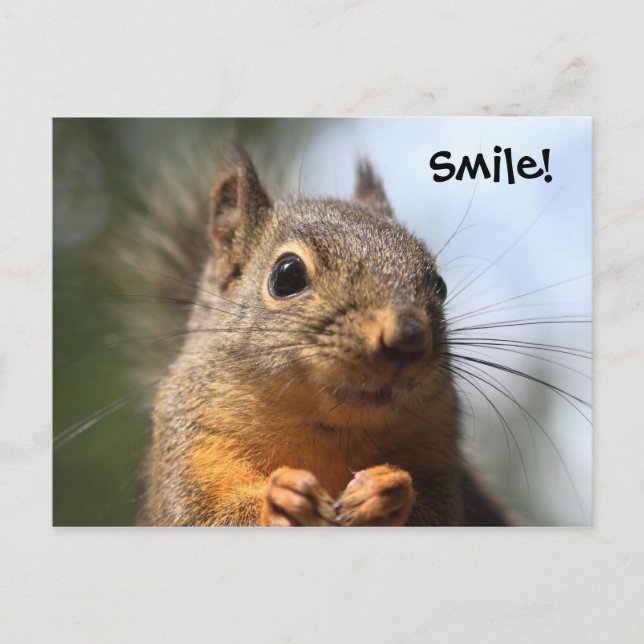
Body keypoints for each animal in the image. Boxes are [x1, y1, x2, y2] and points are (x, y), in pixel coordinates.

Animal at [139, 150, 510, 527]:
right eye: (286, 277)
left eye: (440, 285)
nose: (408, 337)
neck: (332, 434)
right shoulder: (193, 449)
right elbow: (203, 516)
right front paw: (278, 498)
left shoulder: (434, 449)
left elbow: (439, 513)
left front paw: (386, 491)